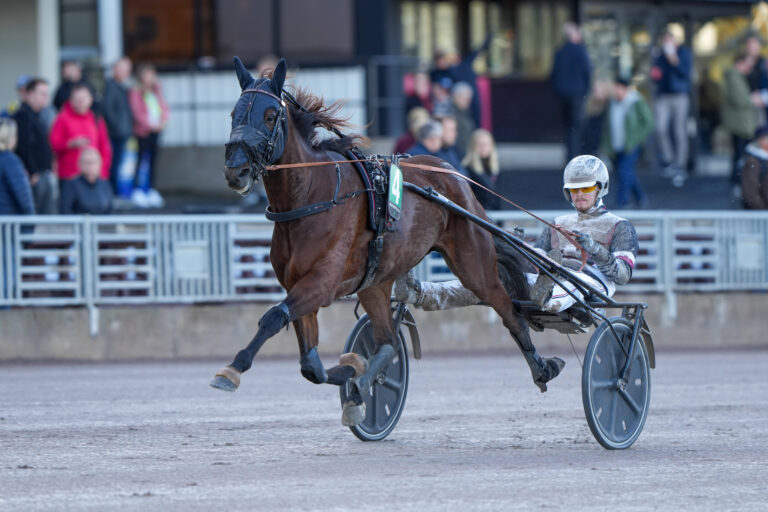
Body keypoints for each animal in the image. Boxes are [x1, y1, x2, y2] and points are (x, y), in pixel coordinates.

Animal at [210, 57, 564, 424]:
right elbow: (310, 364)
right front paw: (351, 368)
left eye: (269, 115)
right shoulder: (301, 285)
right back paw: (361, 387)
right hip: (375, 283)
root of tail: (454, 174)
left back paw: (542, 367)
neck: (311, 197)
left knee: (509, 310)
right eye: (234, 114)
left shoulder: (320, 284)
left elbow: (273, 317)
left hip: (474, 264)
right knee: (388, 342)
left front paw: (232, 369)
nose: (235, 171)